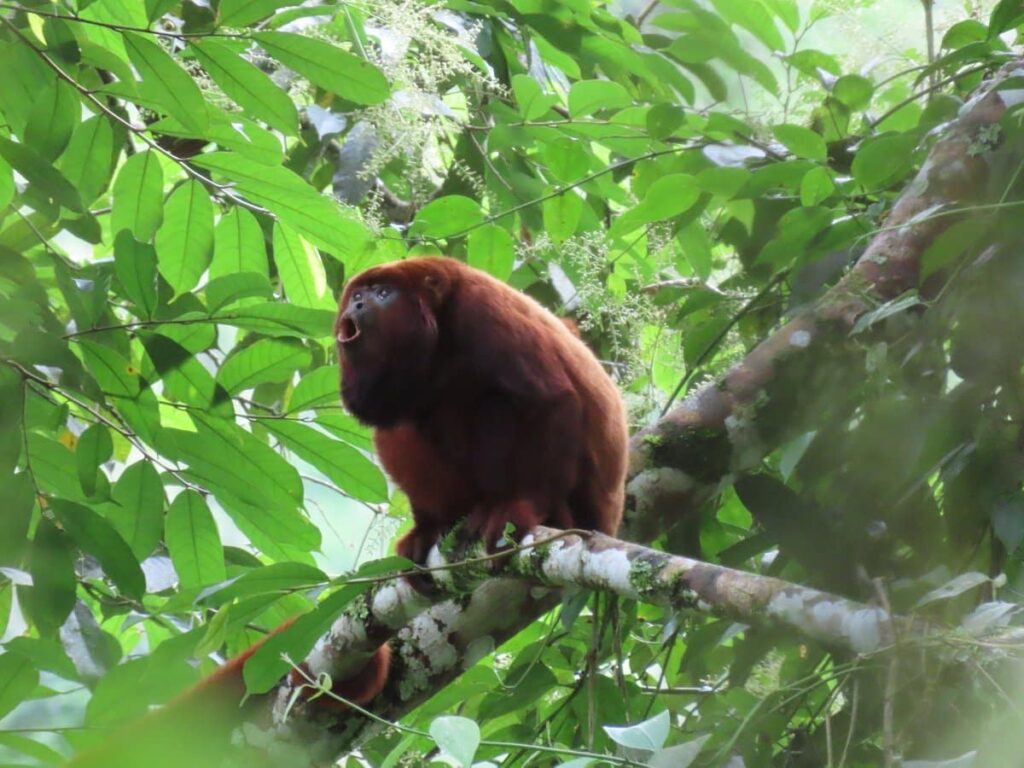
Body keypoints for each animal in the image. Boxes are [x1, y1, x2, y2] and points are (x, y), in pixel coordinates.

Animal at [335, 256, 626, 561]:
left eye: (383, 293)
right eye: (357, 295)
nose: (357, 306)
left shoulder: (479, 308)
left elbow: (551, 399)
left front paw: (523, 508)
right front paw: (425, 527)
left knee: (498, 402)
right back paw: (435, 524)